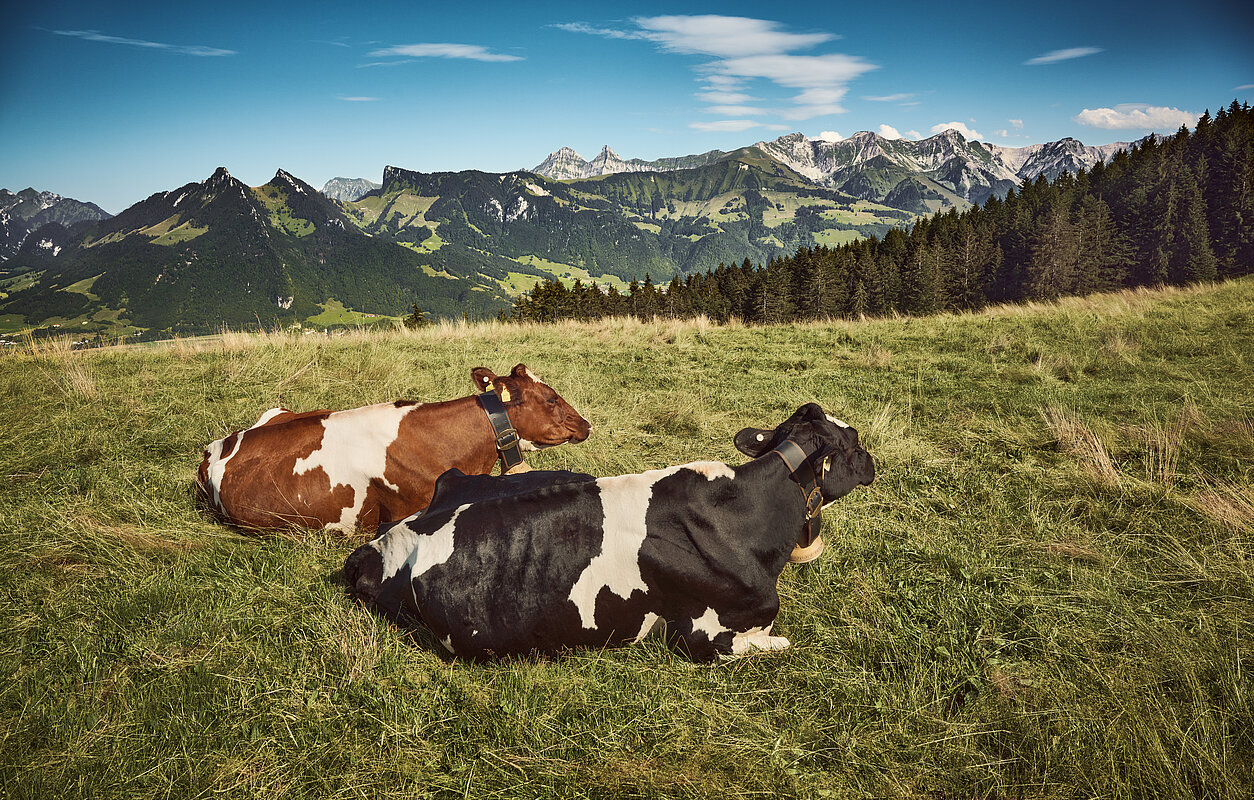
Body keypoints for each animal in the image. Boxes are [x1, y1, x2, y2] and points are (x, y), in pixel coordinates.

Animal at [343, 403, 872, 662]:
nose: (874, 461)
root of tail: (375, 547)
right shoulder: (702, 634)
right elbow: (776, 644)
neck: (747, 519)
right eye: (853, 444)